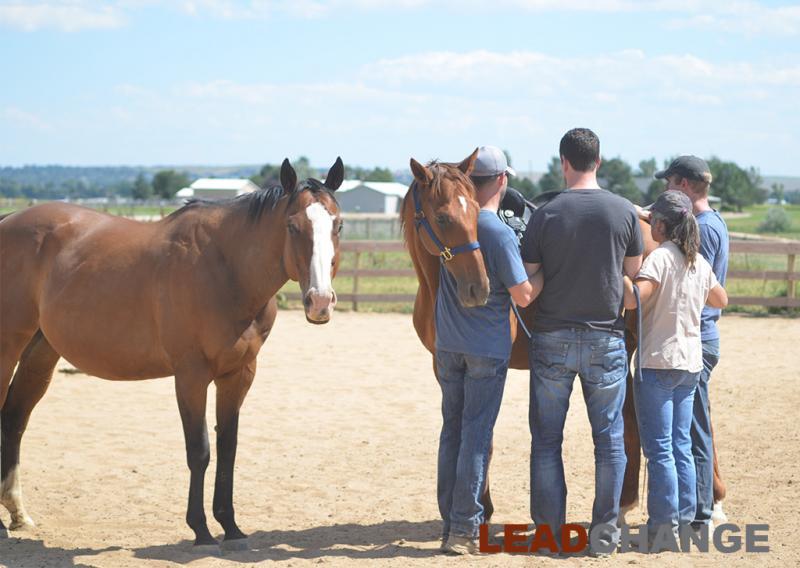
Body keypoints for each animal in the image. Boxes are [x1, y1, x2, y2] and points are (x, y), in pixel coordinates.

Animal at [0, 158, 344, 551]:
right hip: (7, 346)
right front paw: (201, 530)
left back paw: (18, 514)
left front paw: (230, 526)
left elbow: (228, 447)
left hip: (40, 352)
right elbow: (200, 450)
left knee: (14, 419)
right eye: (292, 225)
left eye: (338, 224)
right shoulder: (191, 376)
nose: (320, 302)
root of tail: (9, 220)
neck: (225, 269)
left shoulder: (238, 374)